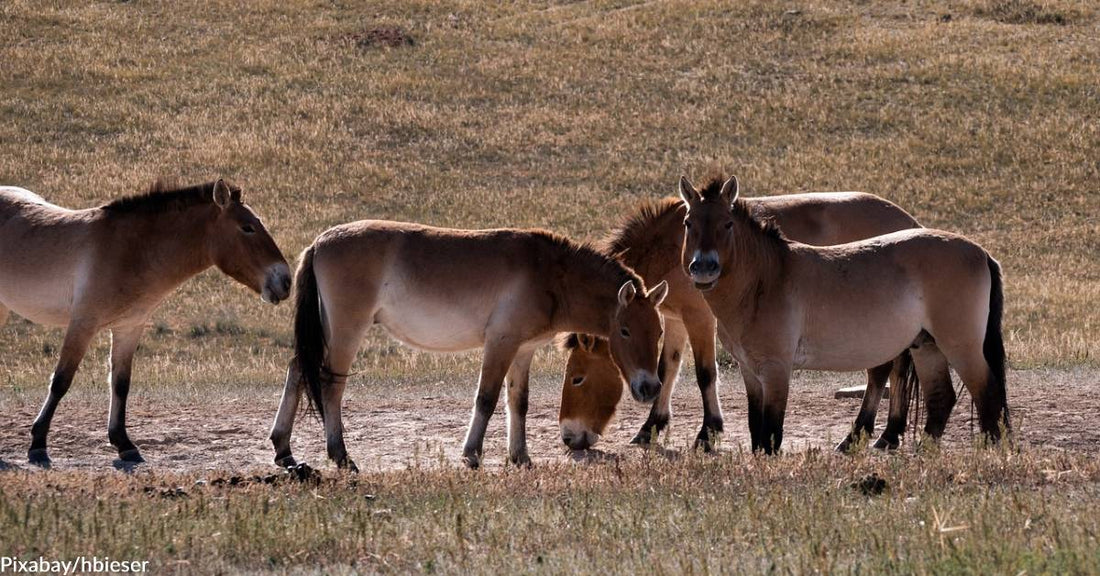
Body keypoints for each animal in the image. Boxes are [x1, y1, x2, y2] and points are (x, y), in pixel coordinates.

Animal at [0, 181, 292, 468]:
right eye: (247, 227)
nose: (286, 281)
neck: (131, 251)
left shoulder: (129, 328)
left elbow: (120, 383)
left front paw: (124, 444)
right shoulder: (83, 324)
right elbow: (61, 381)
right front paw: (38, 444)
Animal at [269, 218, 664, 470]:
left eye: (659, 331)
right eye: (625, 330)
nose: (650, 388)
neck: (550, 273)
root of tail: (319, 243)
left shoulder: (523, 350)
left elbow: (518, 403)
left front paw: (520, 457)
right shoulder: (500, 343)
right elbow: (486, 399)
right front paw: (472, 454)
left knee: (297, 371)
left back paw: (283, 448)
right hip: (347, 330)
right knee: (330, 385)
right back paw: (340, 455)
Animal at [554, 193, 924, 455]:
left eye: (577, 378)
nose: (570, 438)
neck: (672, 246)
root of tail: (910, 221)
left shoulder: (700, 319)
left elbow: (705, 374)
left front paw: (708, 433)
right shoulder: (672, 319)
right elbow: (666, 370)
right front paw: (651, 427)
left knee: (885, 371)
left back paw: (866, 435)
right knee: (895, 371)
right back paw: (889, 434)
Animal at [677, 175, 1007, 455]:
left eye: (727, 223)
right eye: (688, 223)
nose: (704, 268)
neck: (766, 280)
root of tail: (981, 253)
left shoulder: (776, 369)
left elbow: (771, 433)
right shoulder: (749, 371)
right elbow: (756, 429)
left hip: (960, 347)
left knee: (986, 391)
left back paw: (991, 450)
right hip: (926, 347)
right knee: (941, 399)